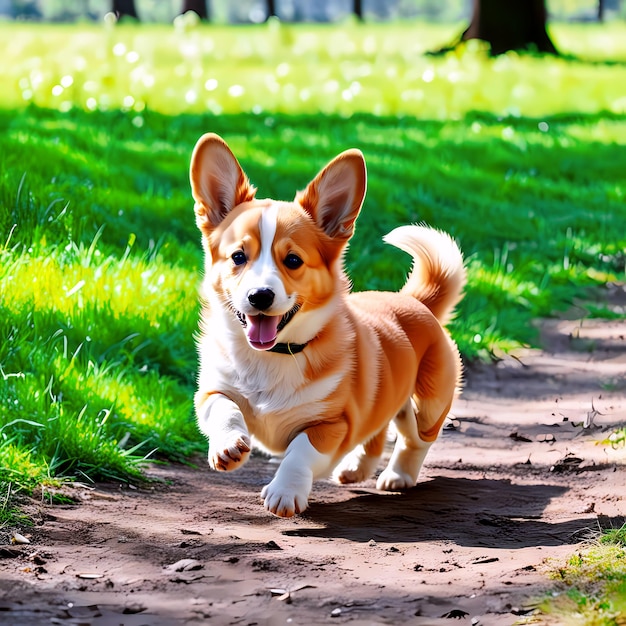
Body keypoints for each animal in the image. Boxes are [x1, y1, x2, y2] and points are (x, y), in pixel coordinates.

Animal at [189, 133, 464, 516]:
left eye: (293, 260)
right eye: (238, 257)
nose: (260, 296)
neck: (274, 356)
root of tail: (416, 301)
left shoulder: (333, 424)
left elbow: (300, 452)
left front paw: (284, 492)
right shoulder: (211, 390)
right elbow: (223, 409)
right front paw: (228, 445)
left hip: (427, 403)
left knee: (415, 439)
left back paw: (398, 476)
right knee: (378, 432)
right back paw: (355, 469)